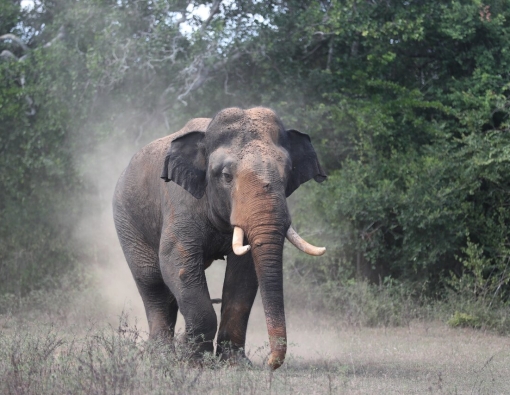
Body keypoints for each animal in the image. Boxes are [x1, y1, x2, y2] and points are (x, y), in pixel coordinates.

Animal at [112, 106, 326, 370]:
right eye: (226, 176)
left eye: (288, 174)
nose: (270, 363)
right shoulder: (179, 201)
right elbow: (176, 263)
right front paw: (193, 362)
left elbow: (243, 273)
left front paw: (235, 364)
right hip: (126, 218)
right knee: (152, 281)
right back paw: (160, 357)